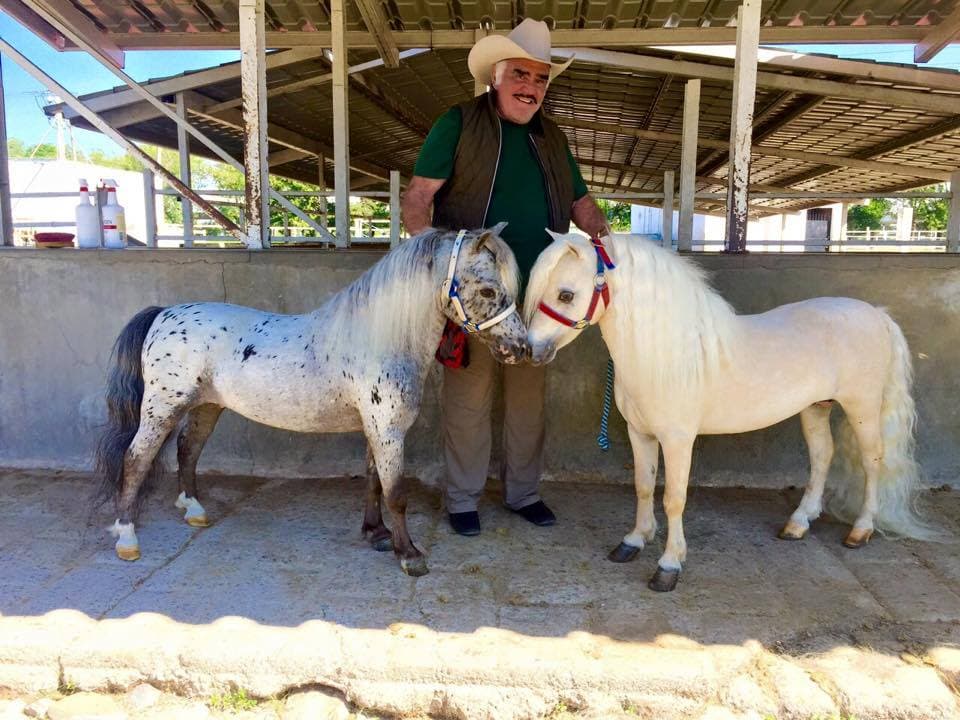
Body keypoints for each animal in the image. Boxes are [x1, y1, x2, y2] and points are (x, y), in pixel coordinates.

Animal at [94, 225, 527, 577]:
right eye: (487, 290)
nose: (521, 348)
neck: (377, 337)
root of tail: (163, 313)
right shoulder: (388, 431)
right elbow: (396, 493)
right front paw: (409, 555)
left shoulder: (375, 431)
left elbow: (373, 482)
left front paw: (376, 533)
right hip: (162, 408)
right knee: (136, 460)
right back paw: (127, 538)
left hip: (206, 406)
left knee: (188, 450)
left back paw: (194, 511)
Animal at [524, 231, 938, 592]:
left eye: (565, 294)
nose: (531, 350)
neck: (668, 352)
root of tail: (878, 315)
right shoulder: (639, 434)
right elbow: (643, 486)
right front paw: (634, 541)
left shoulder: (678, 439)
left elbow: (673, 498)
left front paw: (669, 565)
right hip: (815, 408)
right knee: (823, 457)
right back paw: (798, 523)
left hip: (862, 407)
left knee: (872, 462)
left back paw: (861, 530)